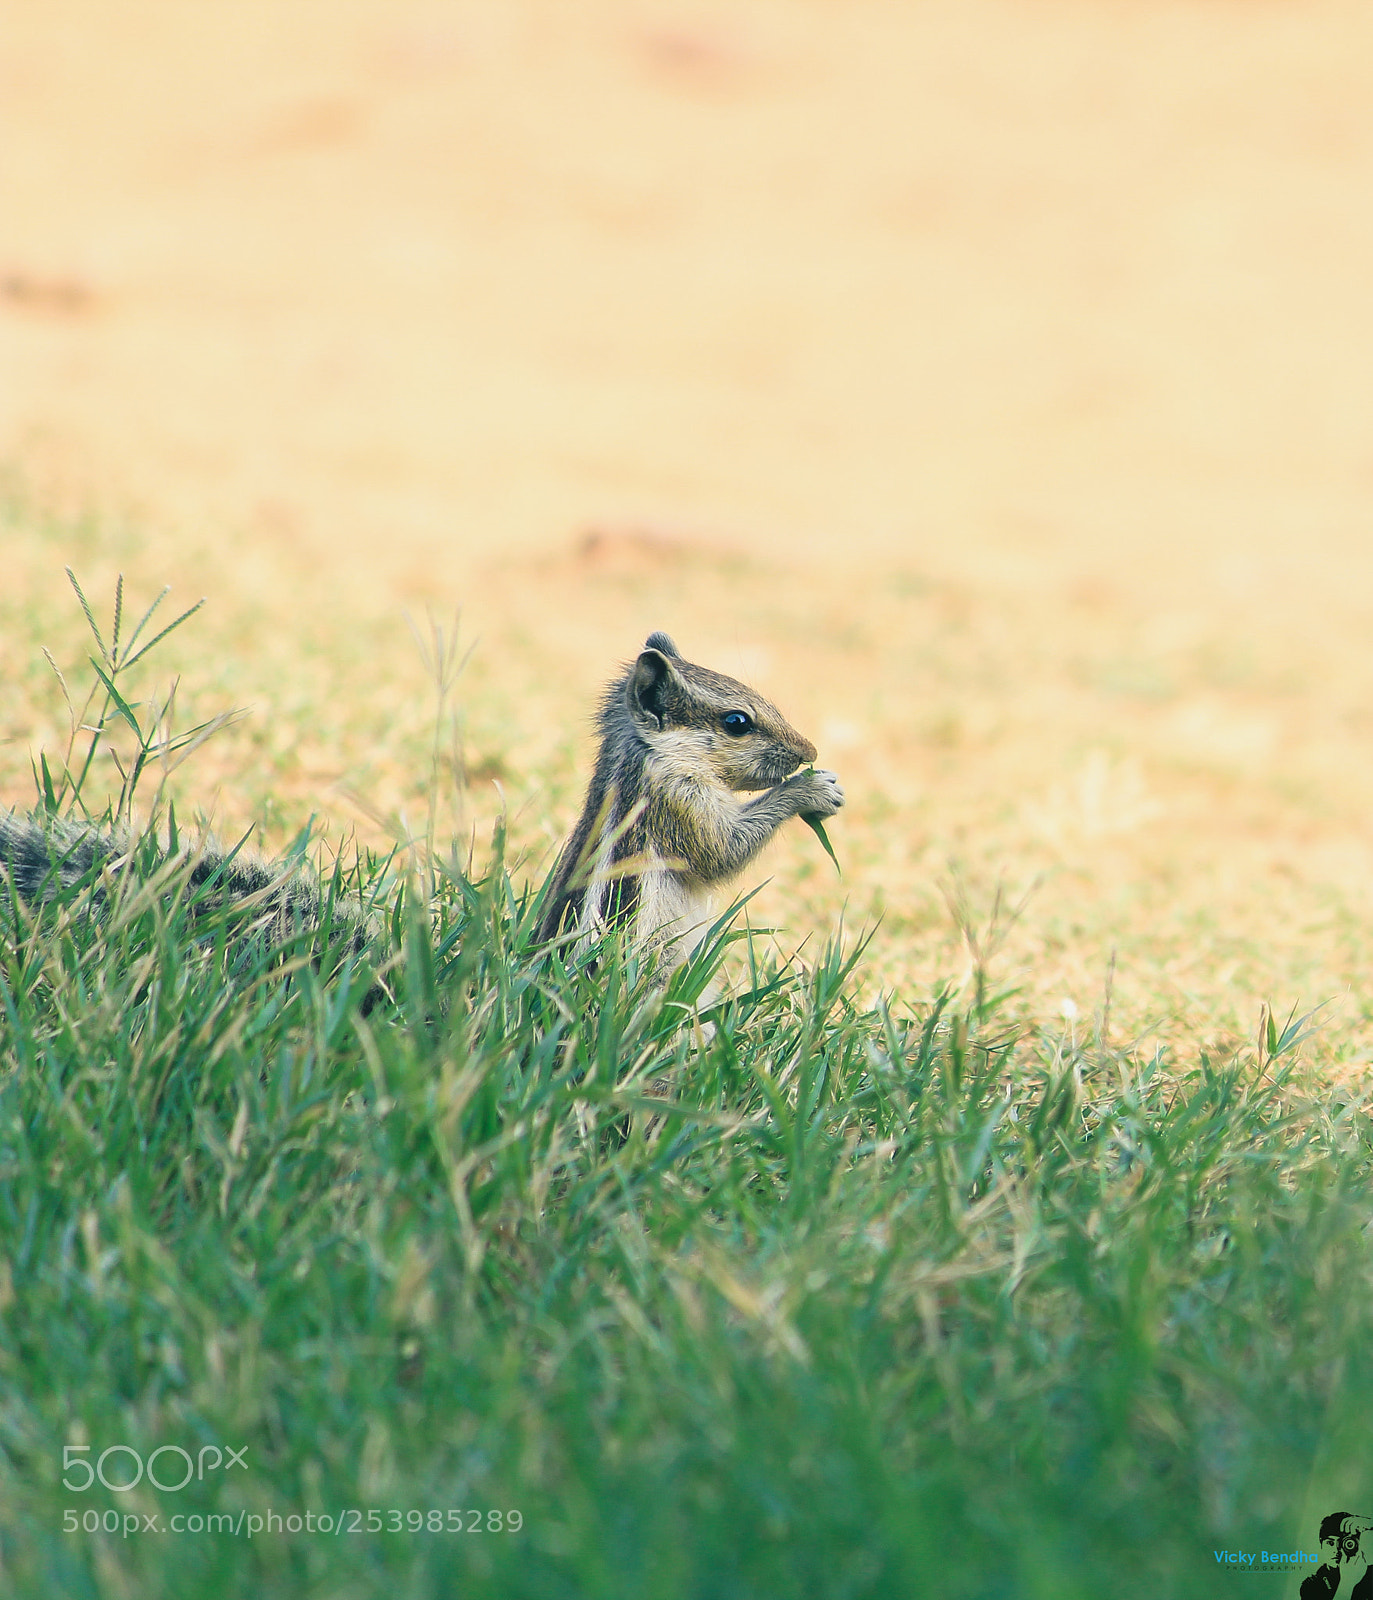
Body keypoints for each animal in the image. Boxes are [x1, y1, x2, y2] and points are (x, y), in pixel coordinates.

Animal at [539, 632, 844, 971]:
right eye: (737, 722)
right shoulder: (679, 802)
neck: (651, 756)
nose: (810, 752)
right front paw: (812, 788)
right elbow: (724, 851)